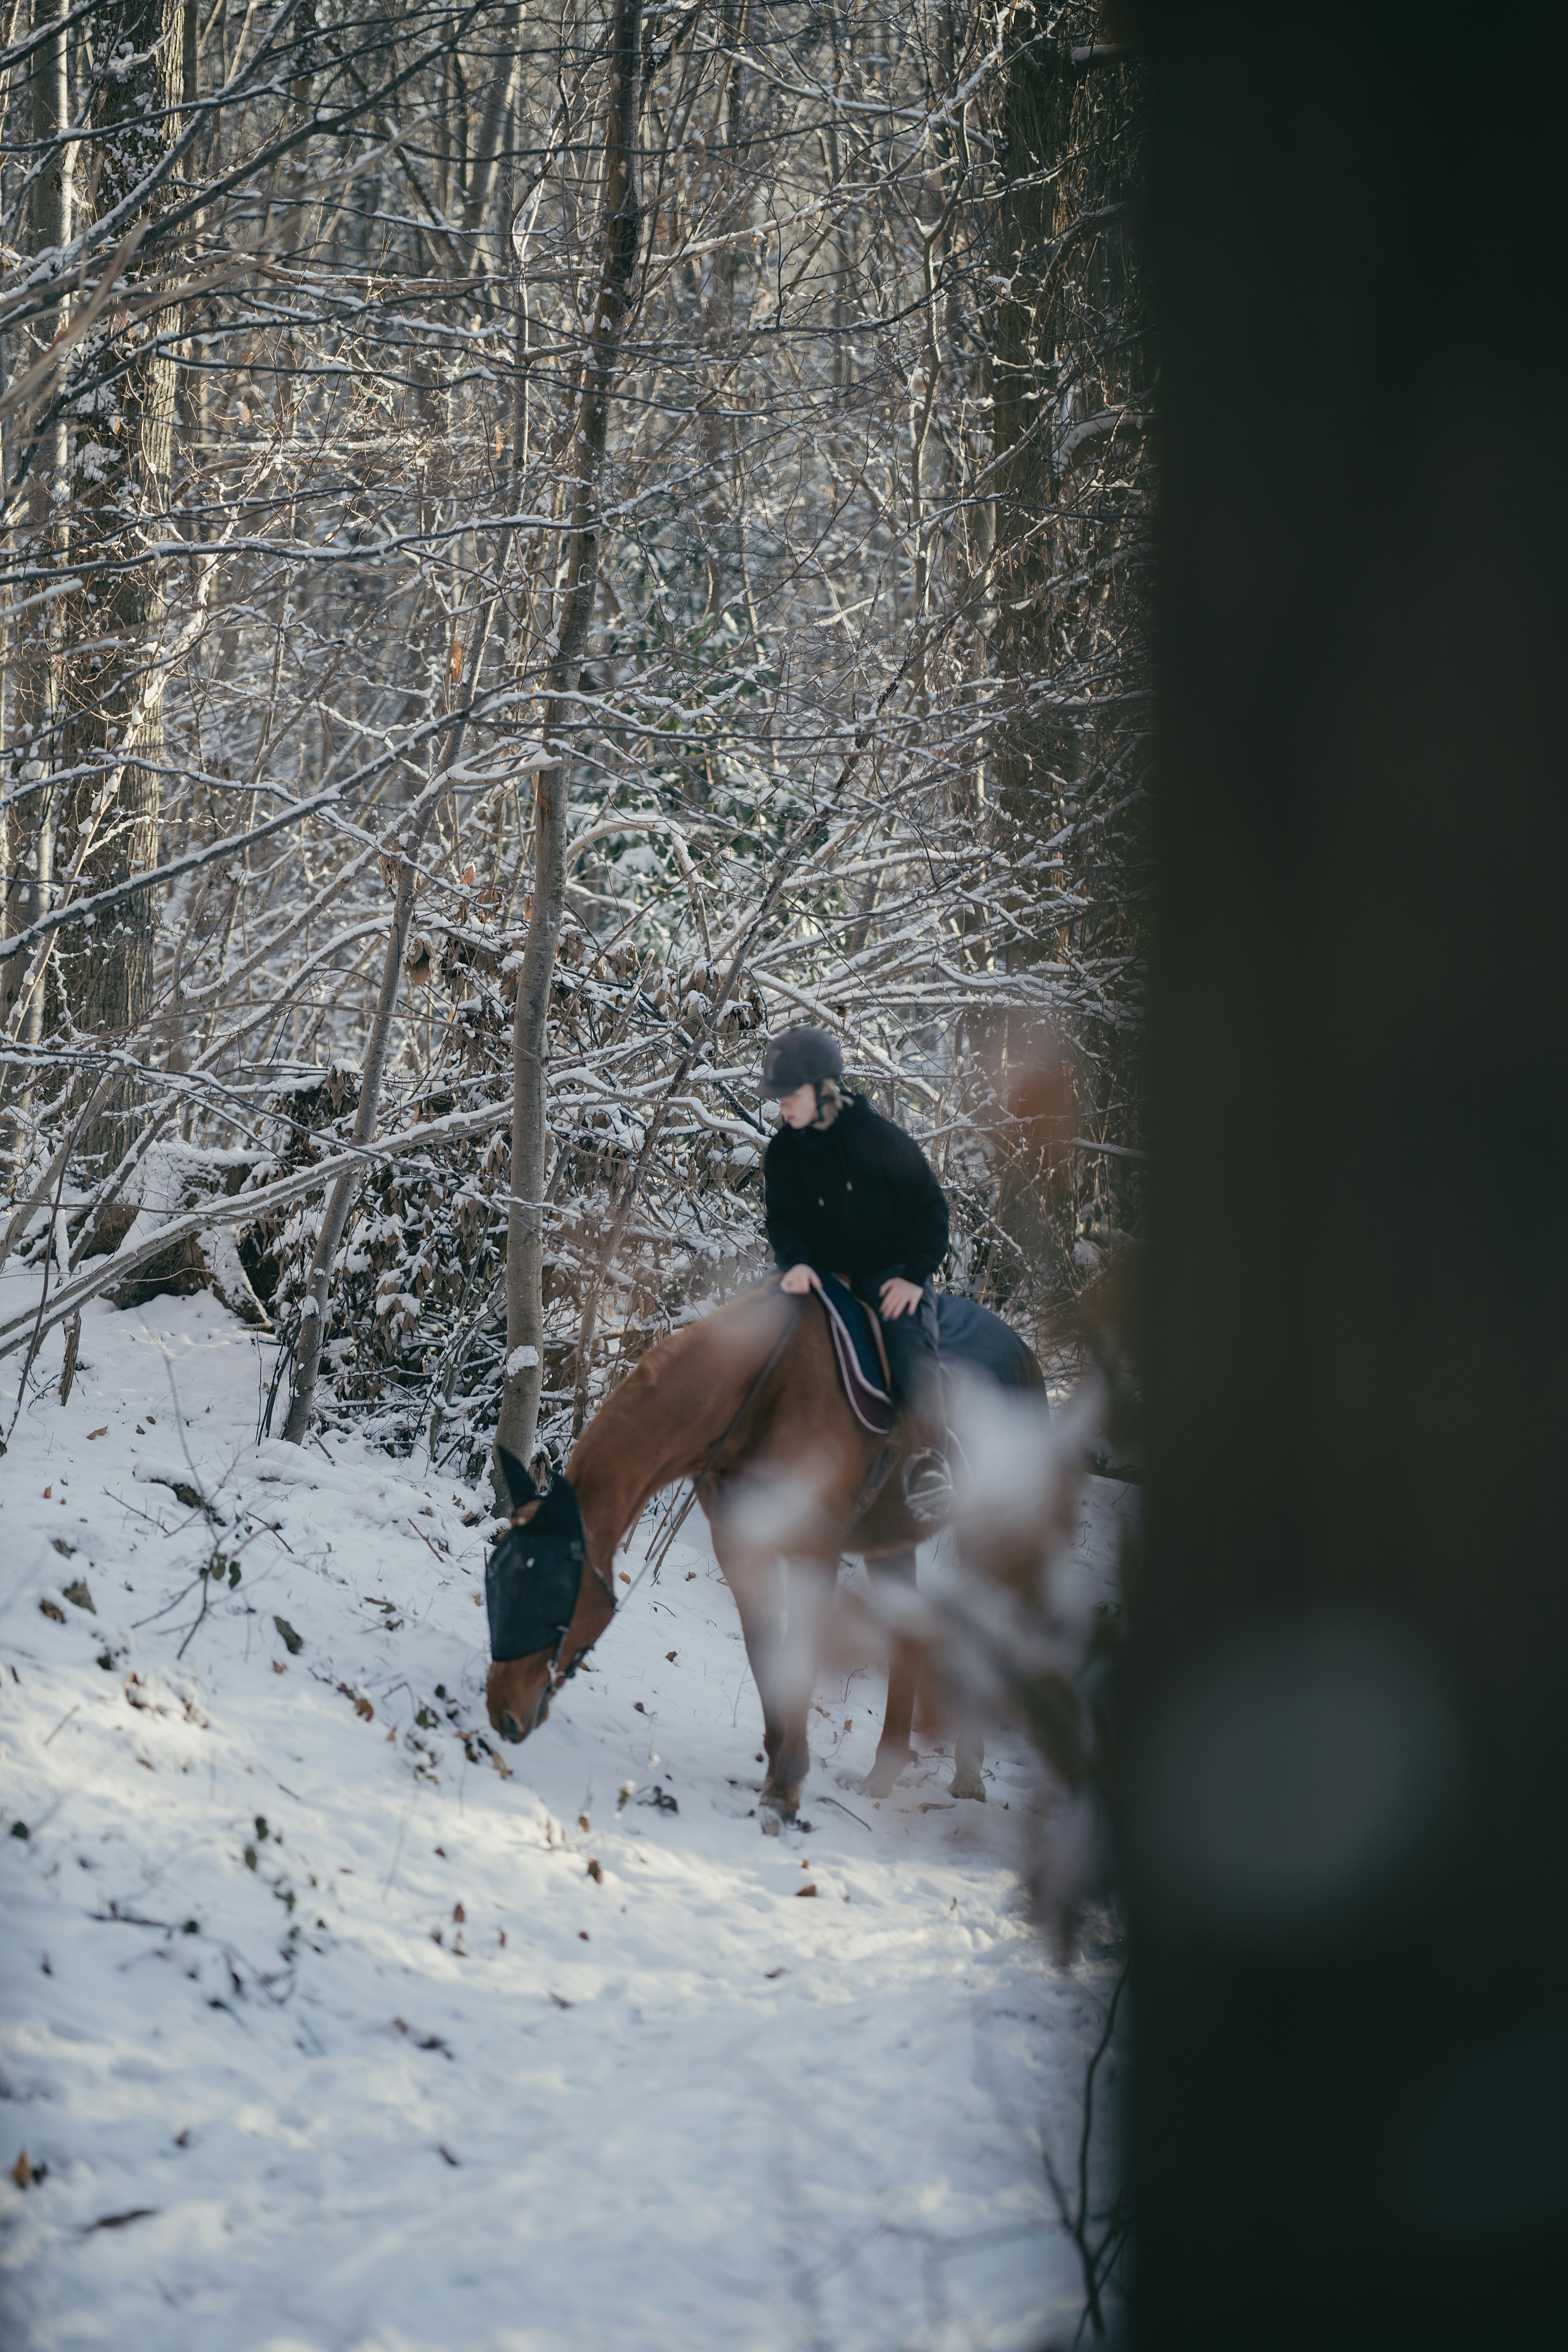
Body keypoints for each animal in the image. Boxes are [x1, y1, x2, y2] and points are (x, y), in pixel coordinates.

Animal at [483, 1278, 1039, 1819]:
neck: (756, 1397)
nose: (502, 1712)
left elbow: (799, 1657)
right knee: (910, 1639)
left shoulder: (814, 1553)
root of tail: (1026, 1356)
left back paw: (968, 1775)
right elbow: (765, 1651)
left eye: (551, 1595)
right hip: (891, 1548)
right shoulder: (742, 1549)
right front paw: (777, 1775)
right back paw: (883, 1775)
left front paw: (786, 1789)